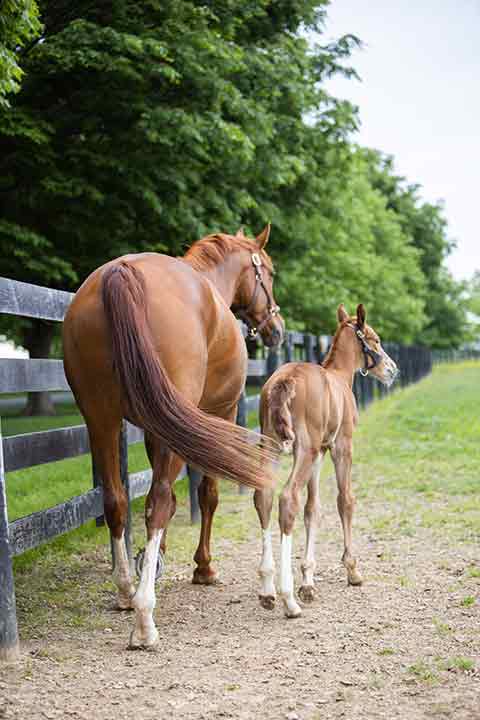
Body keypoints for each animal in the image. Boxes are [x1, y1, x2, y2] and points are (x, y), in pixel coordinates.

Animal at [62, 226, 284, 648]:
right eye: (269, 272)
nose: (276, 329)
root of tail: (121, 271)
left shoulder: (156, 426)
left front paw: (156, 559)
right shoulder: (217, 414)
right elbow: (206, 494)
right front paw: (203, 567)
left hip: (101, 420)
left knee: (117, 502)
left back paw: (126, 590)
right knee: (157, 503)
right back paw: (144, 618)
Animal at [255, 304, 398, 620]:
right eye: (375, 339)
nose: (392, 370)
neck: (339, 376)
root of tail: (285, 380)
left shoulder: (320, 452)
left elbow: (313, 509)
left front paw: (308, 581)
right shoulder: (341, 446)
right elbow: (345, 500)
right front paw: (352, 569)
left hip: (272, 446)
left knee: (264, 497)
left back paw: (268, 589)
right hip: (303, 450)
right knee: (287, 499)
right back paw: (287, 599)